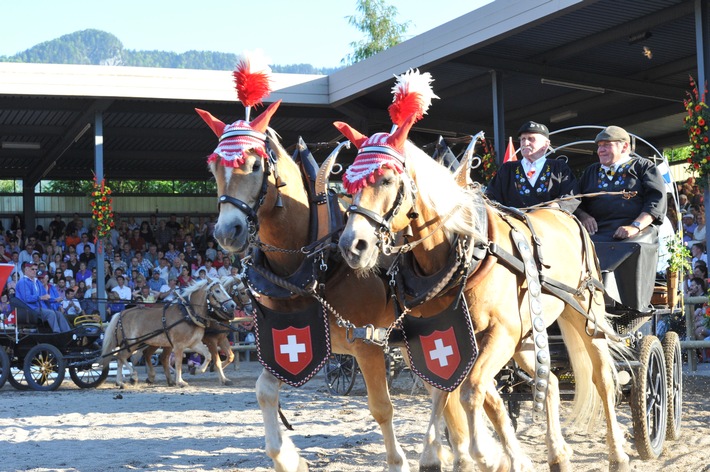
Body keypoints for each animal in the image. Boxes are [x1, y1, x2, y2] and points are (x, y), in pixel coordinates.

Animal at [101, 280, 236, 388]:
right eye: (217, 291)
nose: (232, 305)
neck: (189, 314)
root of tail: (121, 313)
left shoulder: (195, 343)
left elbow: (209, 356)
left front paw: (197, 370)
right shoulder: (181, 345)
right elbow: (179, 363)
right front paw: (181, 381)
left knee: (126, 358)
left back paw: (121, 382)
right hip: (132, 343)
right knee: (122, 357)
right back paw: (133, 376)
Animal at [340, 126, 636, 472]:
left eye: (386, 179)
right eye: (348, 184)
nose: (352, 245)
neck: (465, 252)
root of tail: (566, 215)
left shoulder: (500, 333)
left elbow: (471, 391)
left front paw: (482, 453)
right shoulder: (442, 339)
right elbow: (446, 392)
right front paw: (439, 454)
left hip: (584, 312)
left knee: (602, 378)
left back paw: (617, 453)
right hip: (527, 336)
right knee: (548, 381)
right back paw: (557, 453)